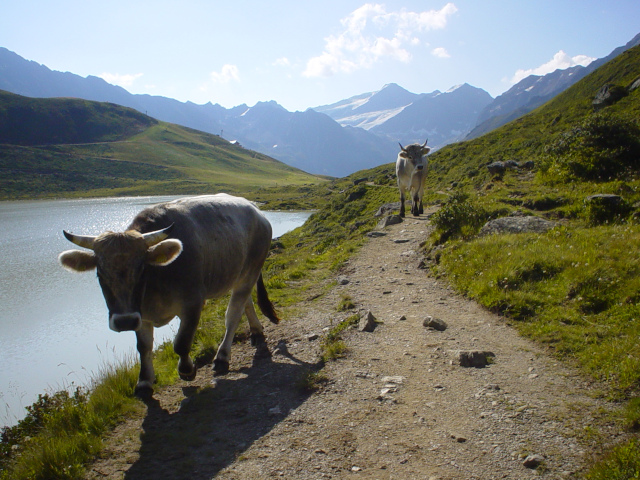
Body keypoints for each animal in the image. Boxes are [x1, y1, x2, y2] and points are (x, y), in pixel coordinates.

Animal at [58, 193, 278, 396]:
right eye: (100, 273)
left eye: (142, 270)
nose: (124, 321)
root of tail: (255, 210)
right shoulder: (142, 315)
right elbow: (144, 347)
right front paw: (144, 381)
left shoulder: (192, 303)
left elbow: (181, 343)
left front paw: (187, 370)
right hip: (238, 274)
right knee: (246, 303)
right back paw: (256, 331)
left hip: (251, 269)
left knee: (233, 314)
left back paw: (222, 356)